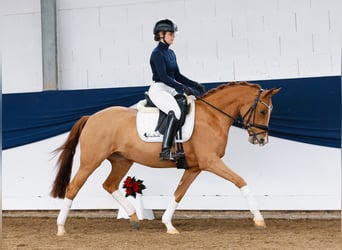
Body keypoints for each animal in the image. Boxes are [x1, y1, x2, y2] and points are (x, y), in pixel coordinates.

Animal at [50, 81, 280, 234]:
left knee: (109, 184)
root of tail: (92, 117)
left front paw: (169, 225)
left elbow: (179, 193)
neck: (212, 117)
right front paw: (259, 219)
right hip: (91, 161)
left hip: (122, 160)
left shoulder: (194, 167)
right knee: (73, 187)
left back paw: (134, 217)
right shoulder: (211, 161)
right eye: (262, 111)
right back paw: (61, 228)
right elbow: (240, 181)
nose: (262, 140)